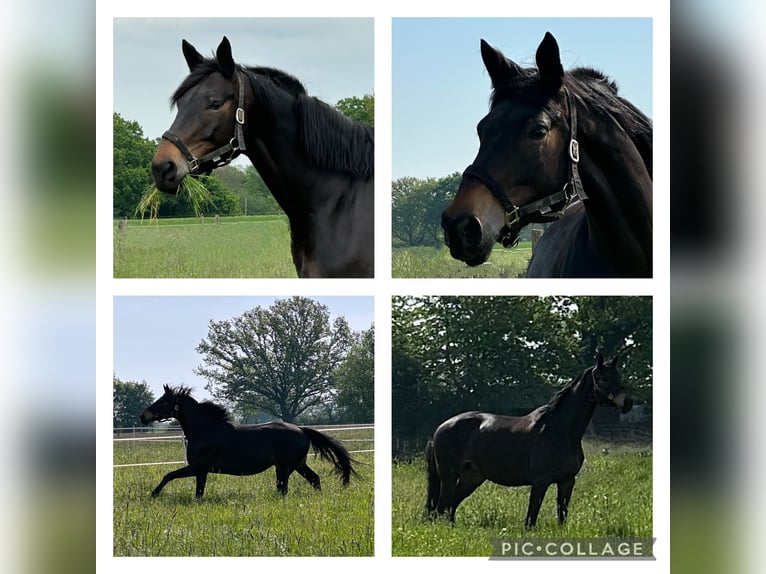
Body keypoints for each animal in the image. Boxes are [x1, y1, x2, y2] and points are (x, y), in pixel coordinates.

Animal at [140, 388, 356, 500]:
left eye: (163, 401)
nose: (143, 416)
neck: (205, 430)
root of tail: (301, 429)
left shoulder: (198, 468)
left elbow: (170, 476)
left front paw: (153, 494)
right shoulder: (201, 470)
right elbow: (195, 490)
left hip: (286, 467)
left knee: (285, 487)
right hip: (296, 465)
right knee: (313, 479)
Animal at [424, 356, 632, 532]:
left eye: (619, 376)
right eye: (603, 378)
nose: (627, 402)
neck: (561, 430)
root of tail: (441, 428)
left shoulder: (567, 481)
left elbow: (562, 515)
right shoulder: (540, 482)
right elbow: (531, 518)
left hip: (472, 477)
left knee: (450, 506)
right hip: (449, 477)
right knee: (441, 507)